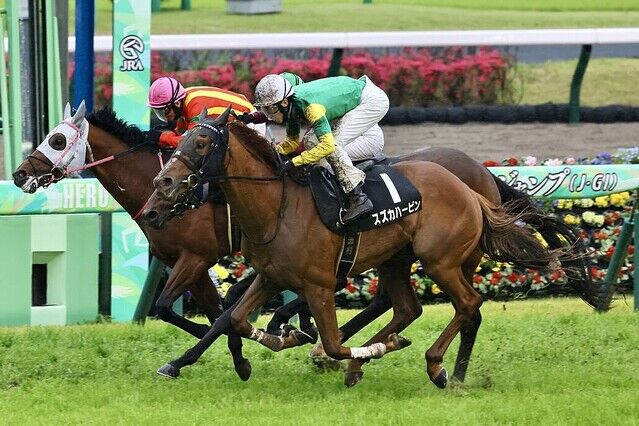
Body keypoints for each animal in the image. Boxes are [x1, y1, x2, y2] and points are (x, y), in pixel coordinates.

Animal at [144, 108, 583, 388]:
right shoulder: (270, 276)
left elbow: (334, 344)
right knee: (409, 308)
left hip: (441, 261)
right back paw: (396, 354)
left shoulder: (319, 285)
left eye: (202, 142)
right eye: (181, 138)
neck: (277, 206)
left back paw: (440, 369)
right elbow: (234, 318)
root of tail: (472, 189)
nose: (162, 184)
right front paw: (287, 338)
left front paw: (319, 347)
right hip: (396, 261)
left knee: (468, 304)